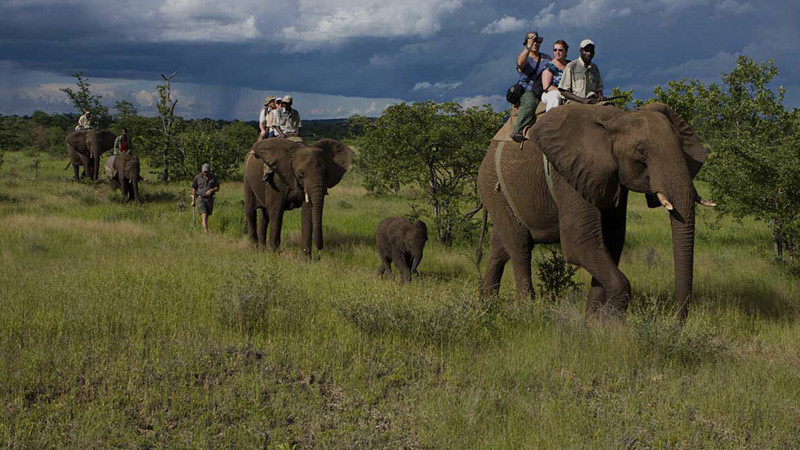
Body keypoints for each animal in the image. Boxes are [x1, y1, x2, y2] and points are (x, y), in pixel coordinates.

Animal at [477, 102, 712, 319]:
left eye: (683, 147)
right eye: (641, 152)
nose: (675, 322)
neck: (618, 119)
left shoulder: (611, 180)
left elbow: (611, 243)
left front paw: (593, 322)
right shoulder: (569, 173)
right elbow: (580, 244)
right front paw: (610, 323)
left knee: (500, 248)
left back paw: (489, 306)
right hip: (492, 186)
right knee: (520, 248)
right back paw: (527, 310)